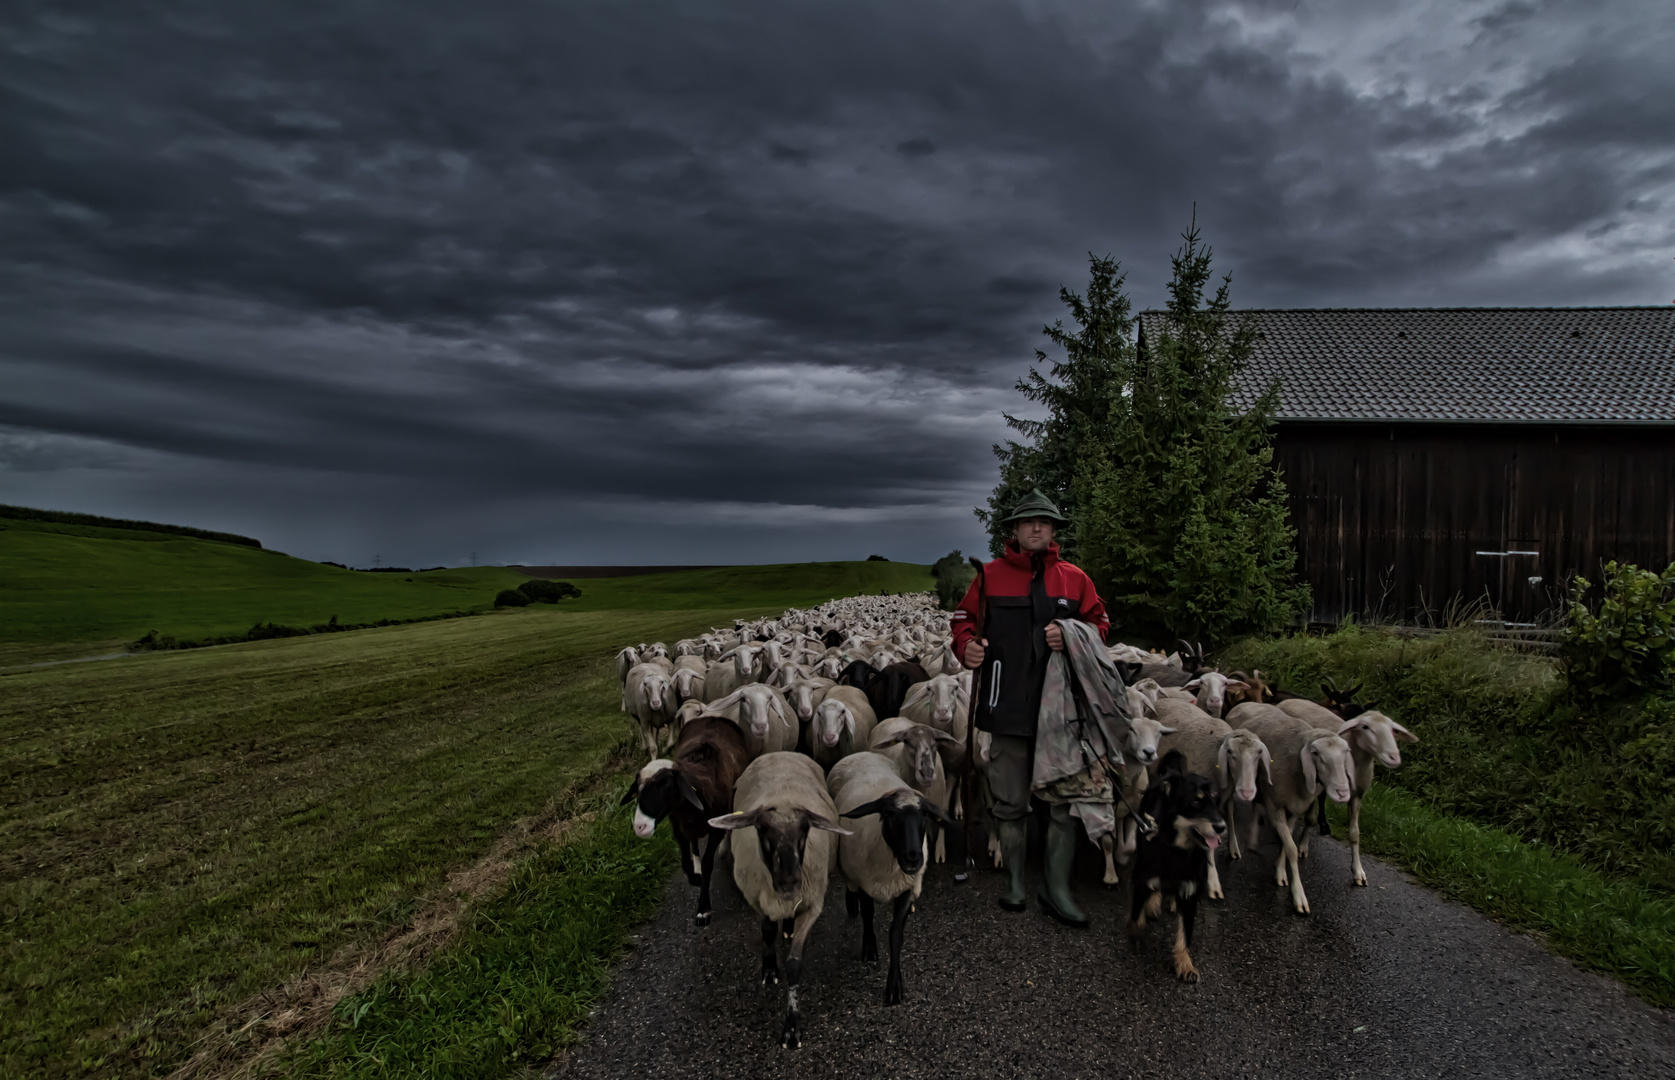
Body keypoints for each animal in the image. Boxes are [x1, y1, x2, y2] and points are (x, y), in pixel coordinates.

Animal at [1125, 750, 1232, 977]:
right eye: (1195, 802)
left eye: (1215, 800)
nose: (1221, 827)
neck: (1178, 849)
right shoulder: (1143, 879)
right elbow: (1136, 917)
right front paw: (1136, 935)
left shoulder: (1191, 891)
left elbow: (1186, 933)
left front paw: (1185, 964)